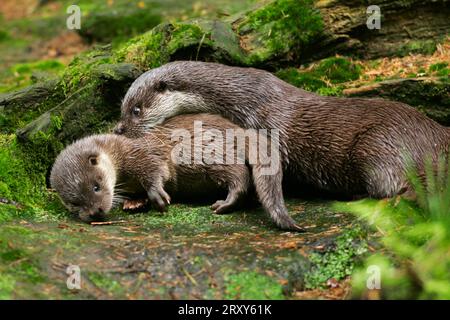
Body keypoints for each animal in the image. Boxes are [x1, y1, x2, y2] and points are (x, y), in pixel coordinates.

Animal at [115, 60, 450, 228]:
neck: (247, 98)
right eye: (122, 107)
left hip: (379, 146)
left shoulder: (265, 128)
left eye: (136, 110)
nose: (119, 128)